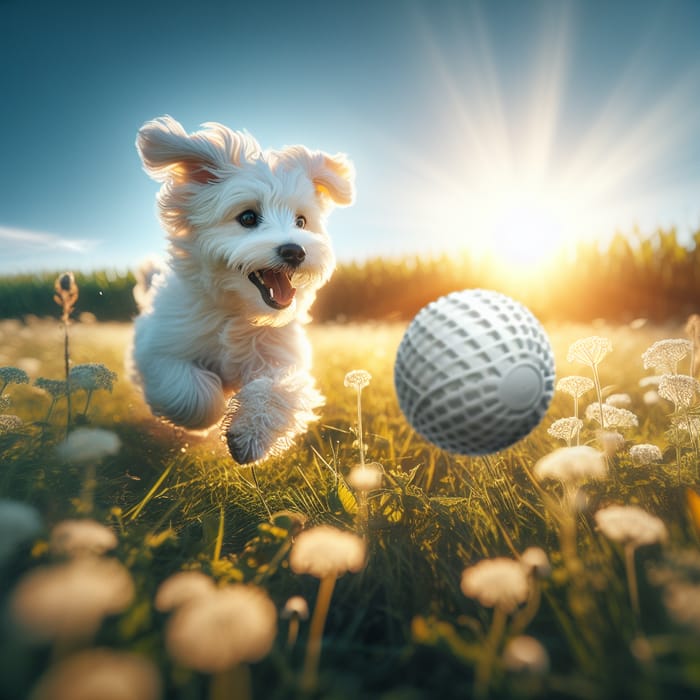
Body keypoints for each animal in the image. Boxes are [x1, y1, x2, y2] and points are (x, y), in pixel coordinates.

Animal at [131, 117, 352, 462]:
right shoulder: (161, 349)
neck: (240, 312)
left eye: (301, 221)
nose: (295, 251)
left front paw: (247, 435)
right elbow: (192, 394)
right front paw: (208, 417)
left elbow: (278, 389)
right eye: (248, 217)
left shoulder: (280, 356)